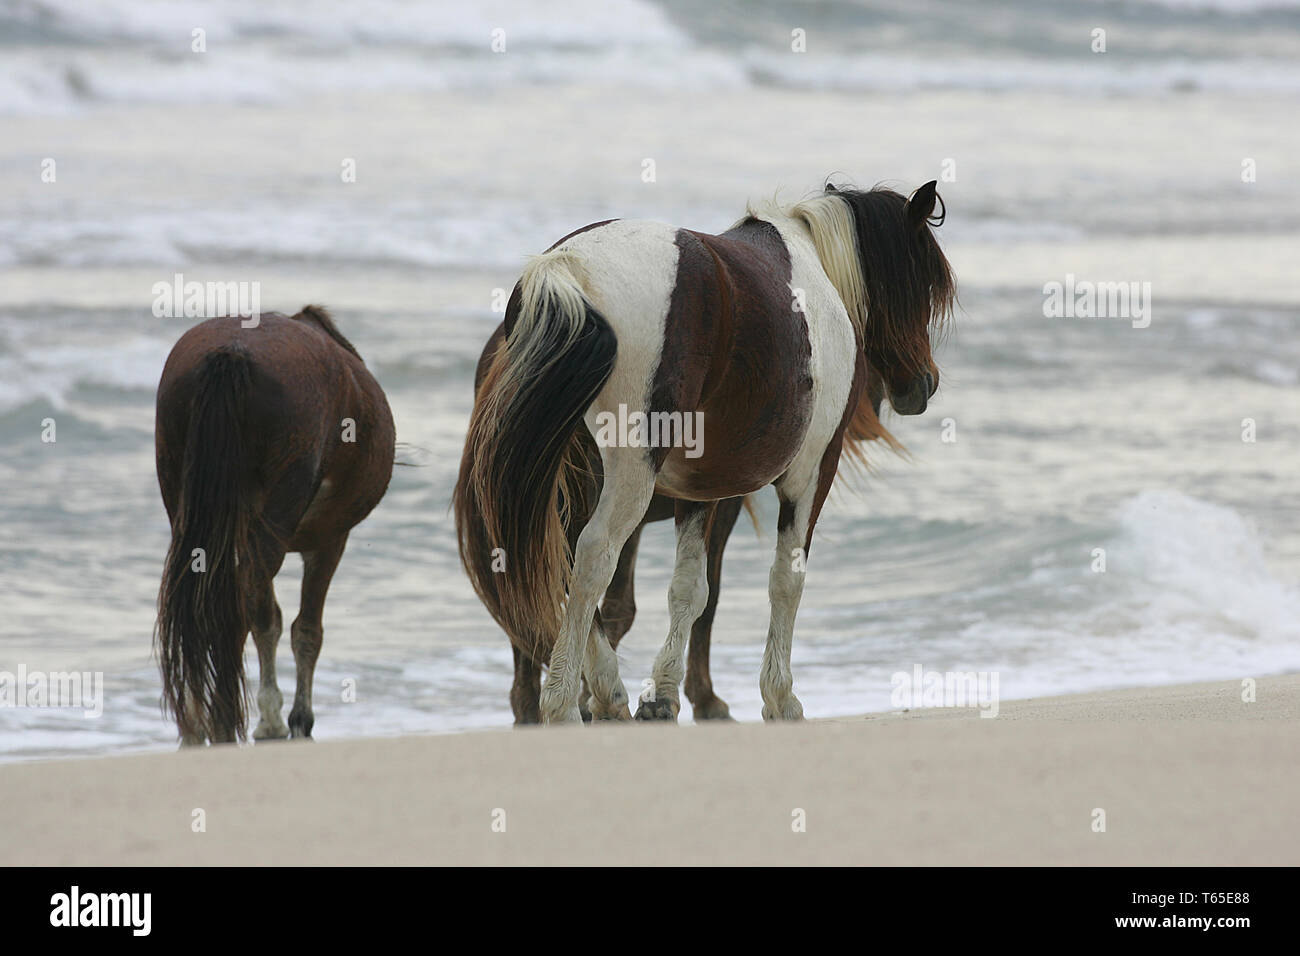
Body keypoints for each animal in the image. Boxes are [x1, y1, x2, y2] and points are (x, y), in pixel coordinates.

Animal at [154, 305, 395, 744]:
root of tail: (232, 353)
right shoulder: (331, 539)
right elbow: (305, 629)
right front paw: (293, 718)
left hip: (181, 489)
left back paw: (196, 722)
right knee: (246, 604)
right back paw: (235, 718)